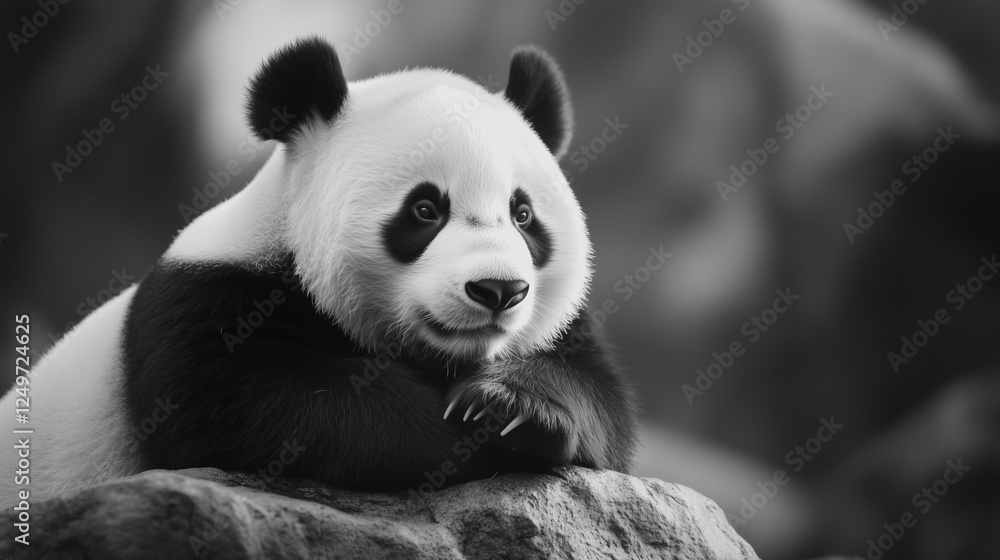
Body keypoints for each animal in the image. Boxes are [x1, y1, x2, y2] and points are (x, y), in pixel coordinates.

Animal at [0, 37, 637, 507]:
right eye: (424, 210)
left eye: (523, 215)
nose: (499, 290)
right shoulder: (203, 301)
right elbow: (254, 407)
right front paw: (459, 436)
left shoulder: (570, 331)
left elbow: (600, 403)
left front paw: (505, 407)